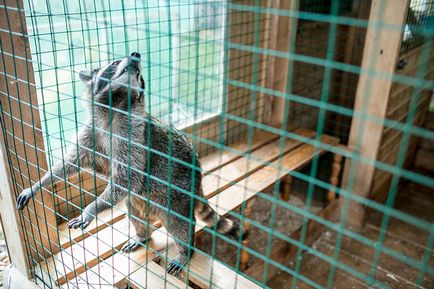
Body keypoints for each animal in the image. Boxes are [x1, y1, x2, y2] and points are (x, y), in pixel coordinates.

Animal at [17, 52, 246, 274]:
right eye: (115, 62)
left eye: (140, 76)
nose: (136, 55)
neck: (117, 104)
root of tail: (198, 179)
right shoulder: (92, 132)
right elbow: (71, 162)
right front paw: (39, 184)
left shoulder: (134, 138)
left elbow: (128, 177)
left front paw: (92, 208)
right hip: (141, 199)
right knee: (134, 212)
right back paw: (143, 235)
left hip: (178, 193)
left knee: (178, 223)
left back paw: (185, 249)